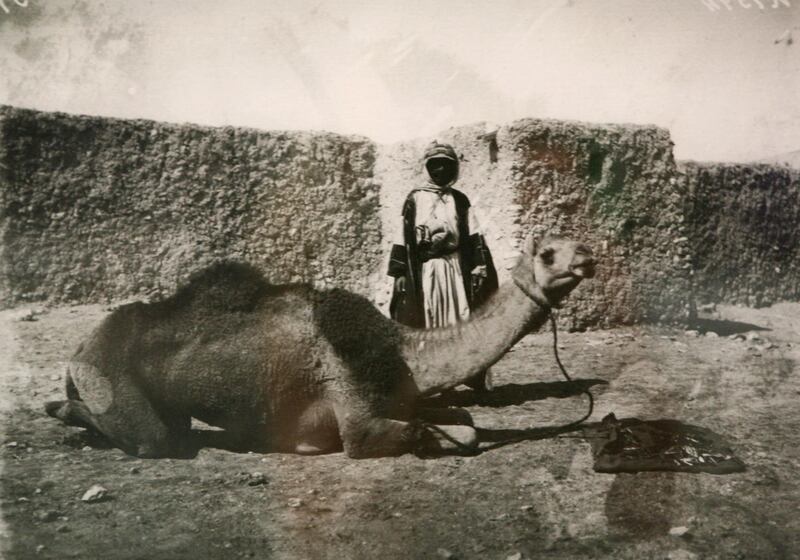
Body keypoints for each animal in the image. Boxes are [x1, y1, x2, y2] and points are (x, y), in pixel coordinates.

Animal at [43, 234, 592, 458]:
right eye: (548, 254)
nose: (588, 256)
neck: (402, 351)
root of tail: (80, 347)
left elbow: (469, 427)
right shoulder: (356, 413)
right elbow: (404, 436)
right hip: (107, 375)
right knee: (153, 439)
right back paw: (61, 411)